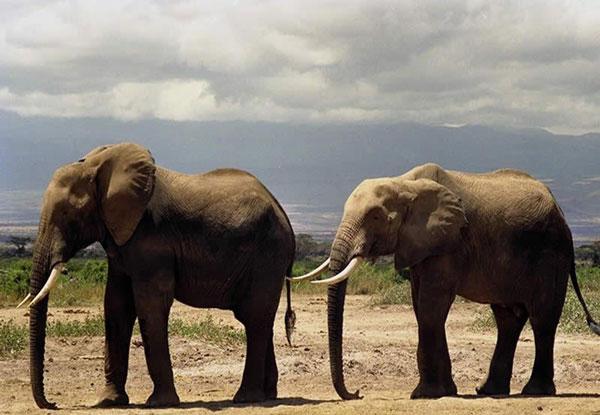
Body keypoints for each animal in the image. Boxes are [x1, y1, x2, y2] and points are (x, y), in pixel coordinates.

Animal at [18, 143, 298, 410]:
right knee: (257, 319)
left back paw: (245, 397)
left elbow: (150, 305)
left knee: (255, 317)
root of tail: (283, 213)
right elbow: (116, 306)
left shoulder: (151, 240)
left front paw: (160, 402)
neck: (97, 167)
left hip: (267, 256)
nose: (53, 404)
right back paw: (267, 395)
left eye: (68, 215)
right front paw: (108, 401)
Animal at [294, 164, 600, 402]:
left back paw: (535, 392)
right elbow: (421, 308)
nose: (357, 393)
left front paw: (426, 394)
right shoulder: (422, 244)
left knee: (542, 318)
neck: (404, 183)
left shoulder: (449, 242)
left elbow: (432, 306)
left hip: (551, 253)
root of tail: (561, 211)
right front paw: (443, 391)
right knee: (508, 319)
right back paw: (488, 391)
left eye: (376, 217)